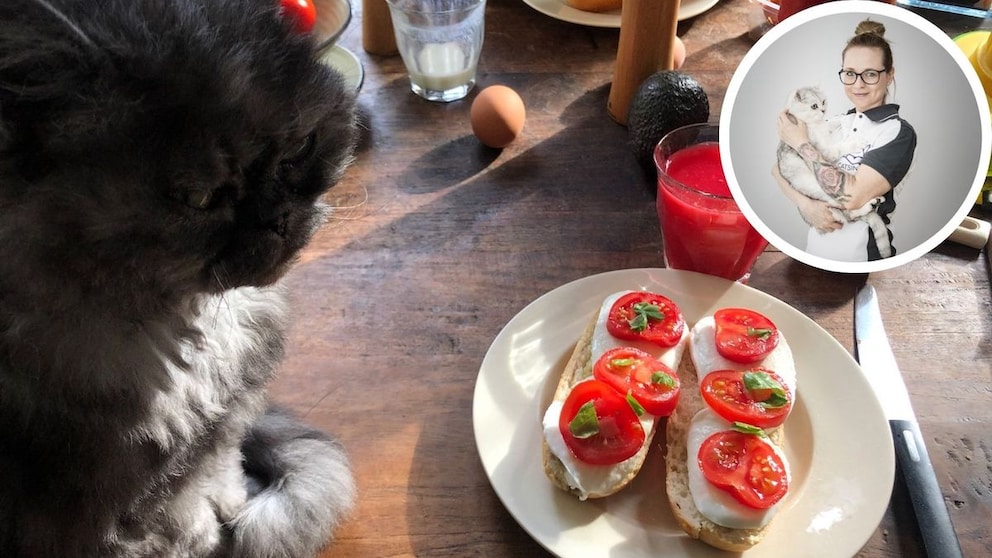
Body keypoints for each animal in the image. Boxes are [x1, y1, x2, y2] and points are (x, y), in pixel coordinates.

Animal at [1, 1, 358, 558]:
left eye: (299, 148)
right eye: (198, 198)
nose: (277, 219)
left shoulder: (215, 434)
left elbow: (219, 472)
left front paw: (233, 506)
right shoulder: (126, 498)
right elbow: (184, 523)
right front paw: (211, 535)